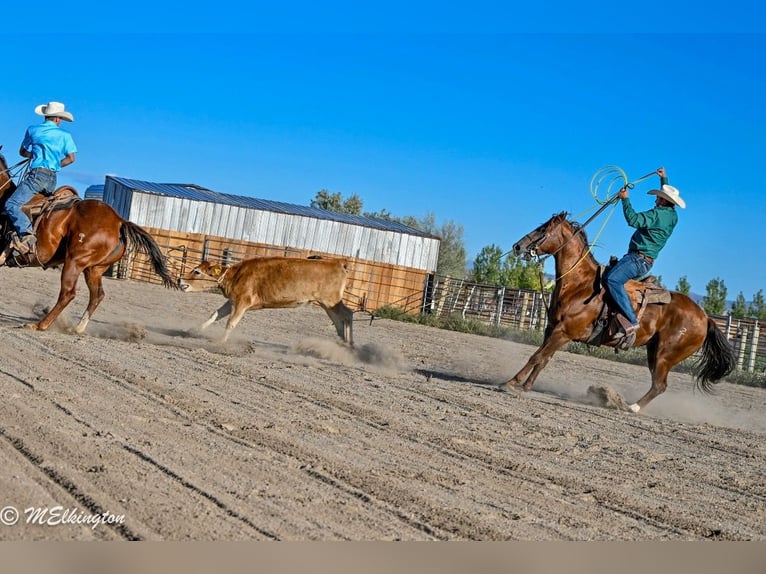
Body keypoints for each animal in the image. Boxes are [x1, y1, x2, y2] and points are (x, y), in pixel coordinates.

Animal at [0, 148, 177, 333]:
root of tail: (119, 221)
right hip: (94, 269)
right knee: (97, 295)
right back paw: (77, 328)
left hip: (75, 261)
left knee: (68, 293)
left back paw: (40, 325)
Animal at [501, 211, 736, 412]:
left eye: (542, 229)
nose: (517, 246)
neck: (580, 285)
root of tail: (705, 317)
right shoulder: (552, 329)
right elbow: (544, 358)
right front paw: (526, 386)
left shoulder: (564, 332)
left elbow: (537, 356)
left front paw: (510, 383)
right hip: (654, 351)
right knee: (658, 383)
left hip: (665, 355)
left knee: (660, 385)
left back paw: (631, 407)